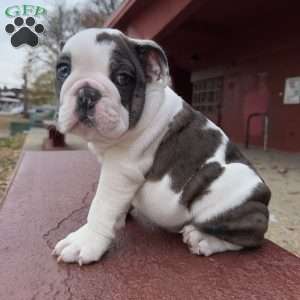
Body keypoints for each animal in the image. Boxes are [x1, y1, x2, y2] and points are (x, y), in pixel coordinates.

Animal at [52, 28, 270, 264]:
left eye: (122, 78)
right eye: (63, 70)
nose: (87, 93)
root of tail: (265, 201)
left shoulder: (120, 171)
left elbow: (101, 204)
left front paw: (85, 241)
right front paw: (120, 217)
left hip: (229, 183)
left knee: (249, 237)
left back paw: (203, 238)